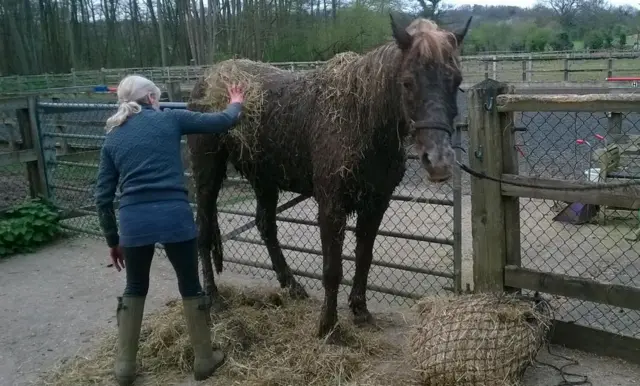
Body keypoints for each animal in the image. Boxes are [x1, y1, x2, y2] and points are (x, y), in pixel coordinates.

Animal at [185, 14, 470, 338]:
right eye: (407, 82)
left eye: (456, 82)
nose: (439, 162)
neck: (360, 116)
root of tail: (207, 79)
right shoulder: (331, 206)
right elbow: (332, 269)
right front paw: (328, 326)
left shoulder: (375, 205)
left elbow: (364, 259)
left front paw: (360, 311)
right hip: (208, 173)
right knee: (204, 231)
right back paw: (214, 298)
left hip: (264, 180)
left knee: (265, 226)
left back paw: (292, 286)